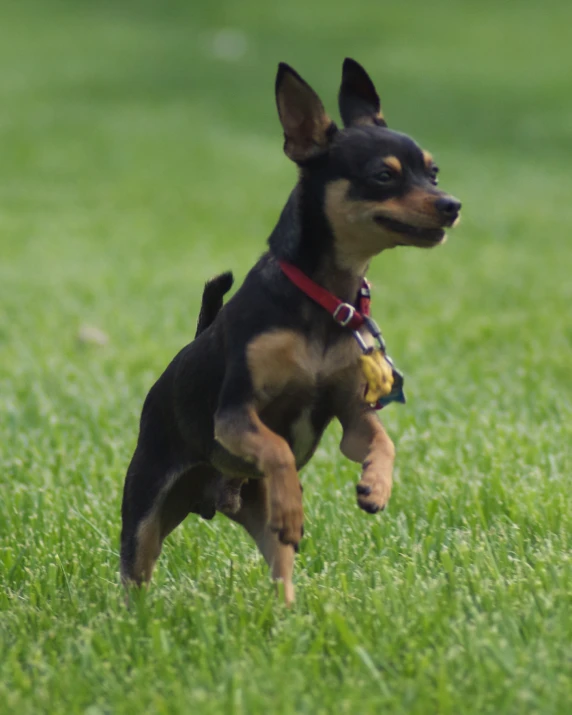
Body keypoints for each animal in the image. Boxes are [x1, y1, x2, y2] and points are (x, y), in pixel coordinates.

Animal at [119, 58, 460, 604]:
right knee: (137, 570)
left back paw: (286, 611)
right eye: (383, 176)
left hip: (259, 523)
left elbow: (383, 439)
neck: (326, 300)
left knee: (280, 563)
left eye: (433, 172)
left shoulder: (352, 415)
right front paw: (295, 502)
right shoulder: (235, 416)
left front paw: (377, 486)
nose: (451, 204)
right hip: (147, 509)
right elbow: (278, 448)